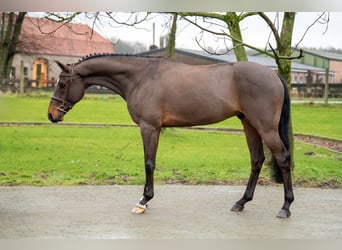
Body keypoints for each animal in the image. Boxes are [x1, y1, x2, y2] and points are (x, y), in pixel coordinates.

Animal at [47, 53, 294, 218]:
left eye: (62, 83)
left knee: (283, 158)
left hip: (265, 127)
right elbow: (150, 162)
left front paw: (143, 201)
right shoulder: (153, 128)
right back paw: (241, 202)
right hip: (249, 124)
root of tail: (274, 75)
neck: (141, 77)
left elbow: (149, 163)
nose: (51, 115)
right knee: (257, 159)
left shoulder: (149, 127)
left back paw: (285, 207)